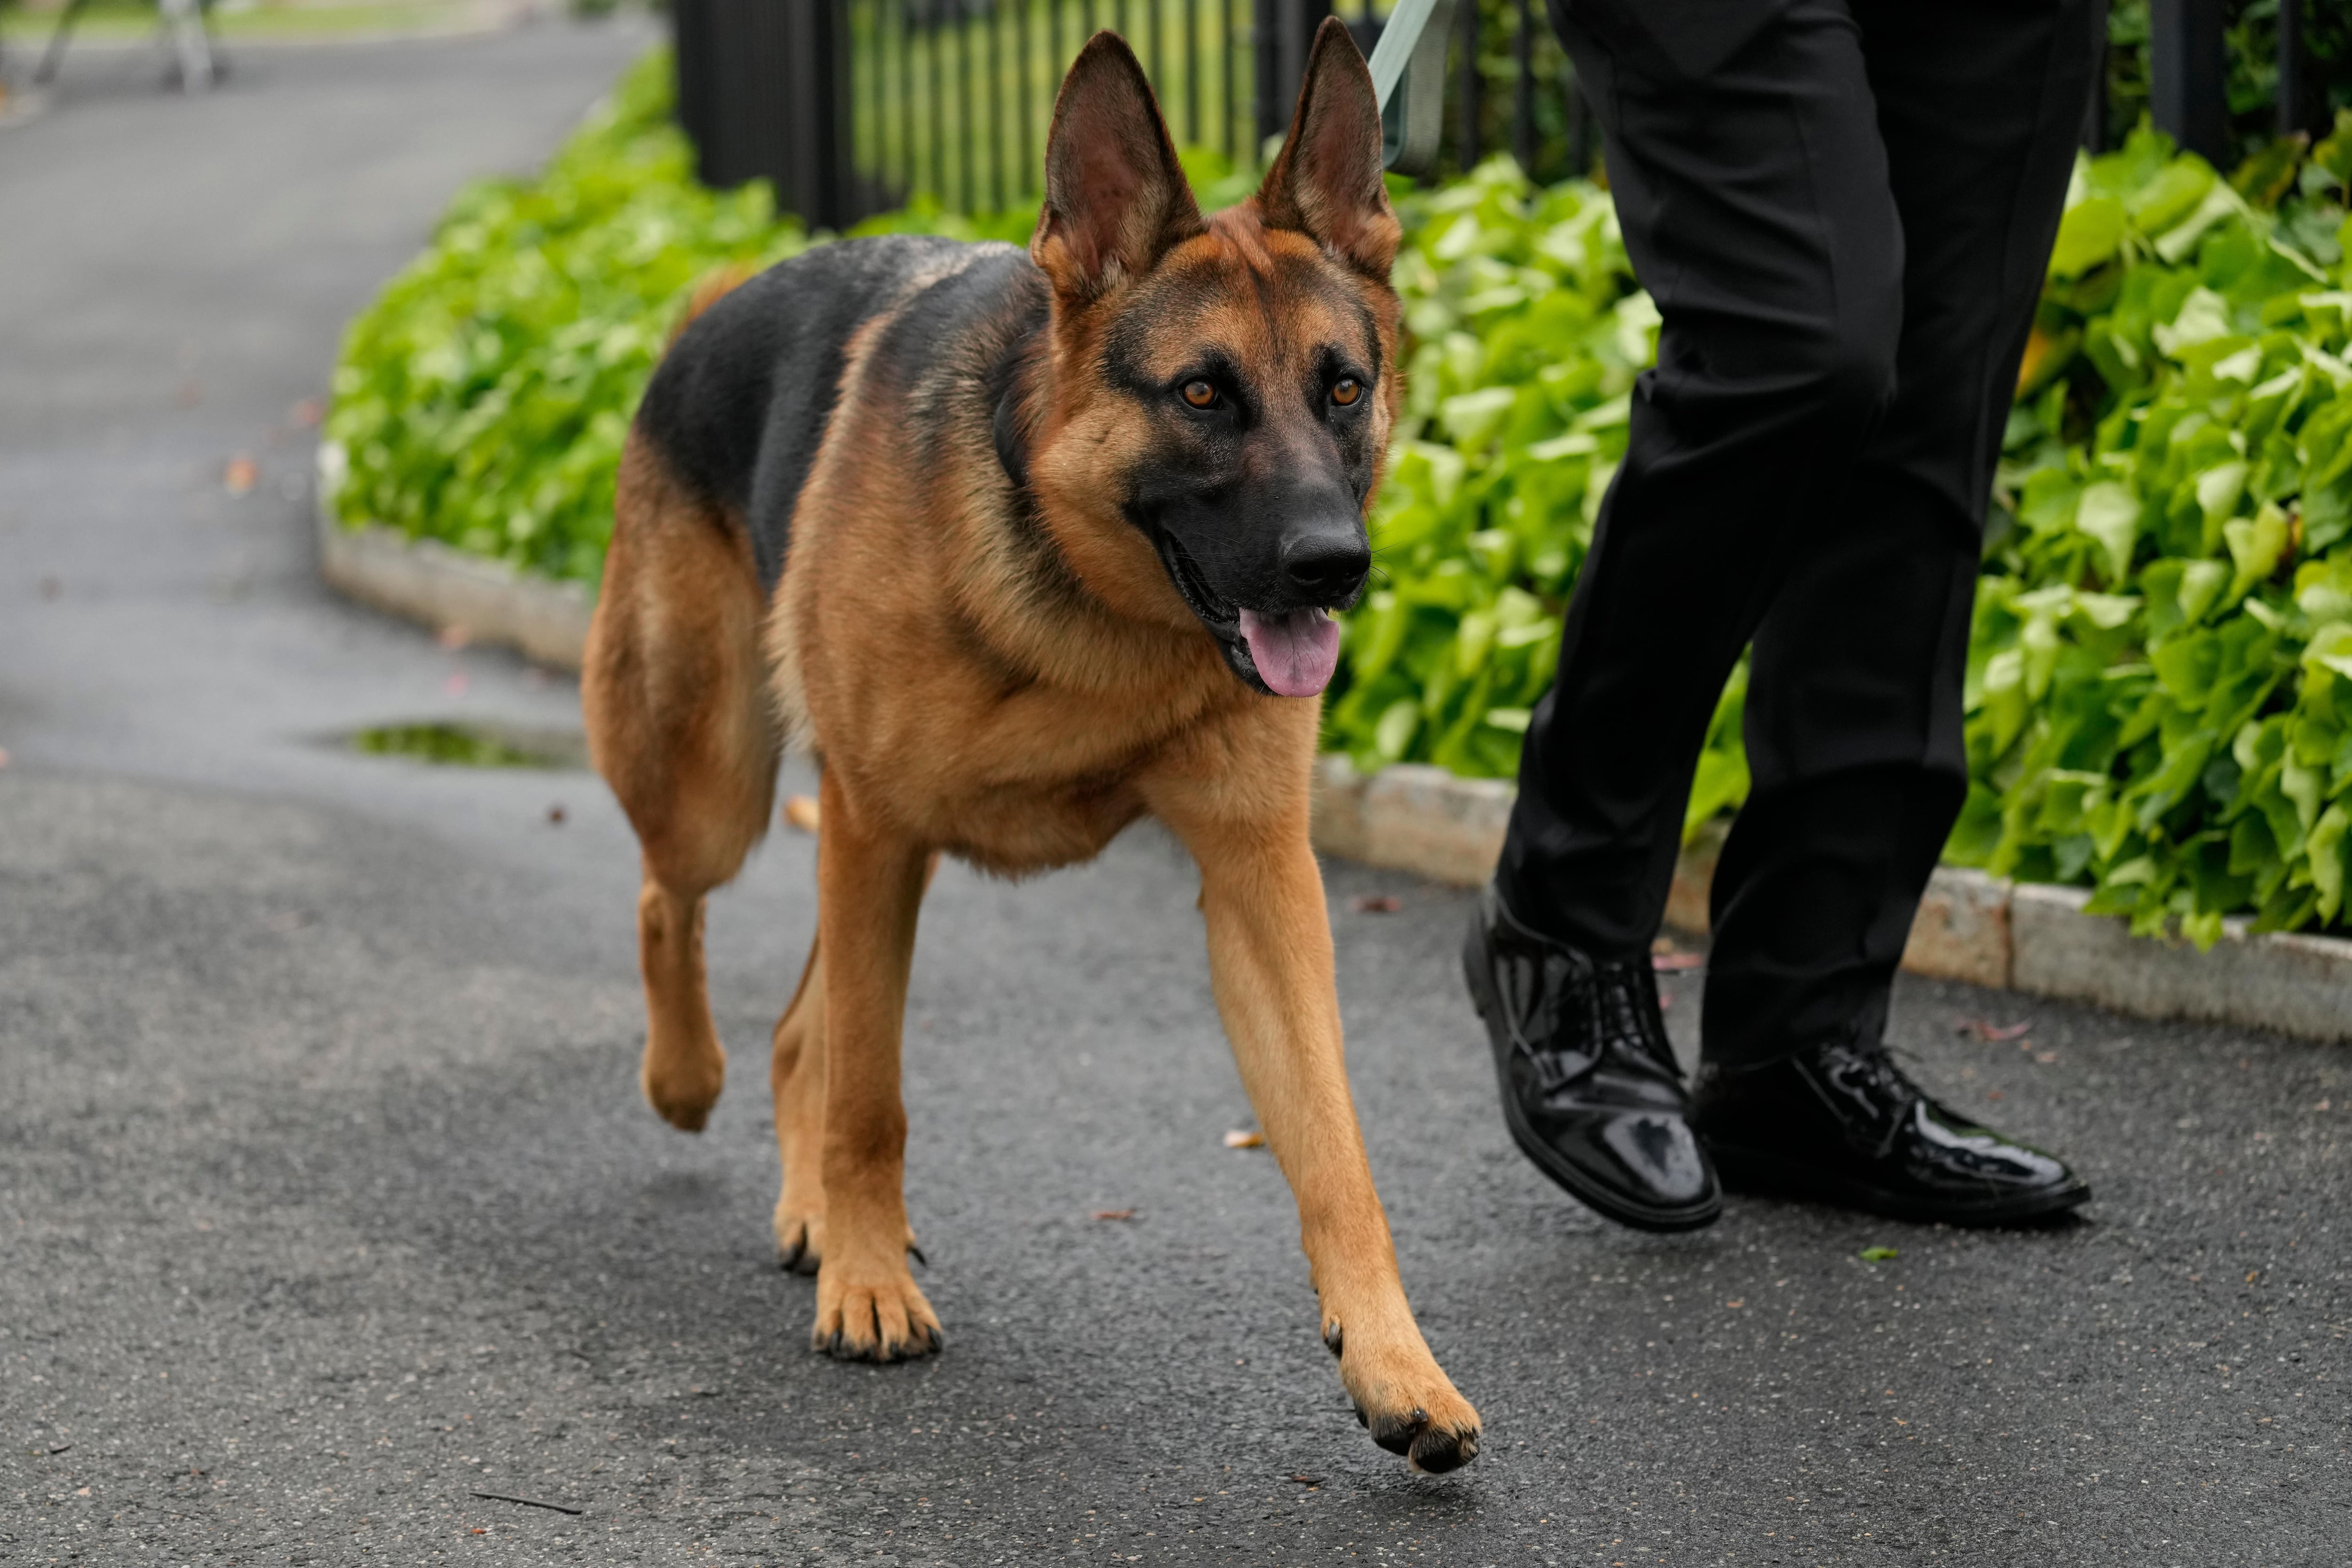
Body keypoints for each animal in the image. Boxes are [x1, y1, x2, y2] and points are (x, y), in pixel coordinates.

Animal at [581, 18, 1477, 1476]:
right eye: (1203, 394)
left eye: (1344, 388)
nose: (1335, 568)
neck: (1089, 605)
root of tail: (711, 303)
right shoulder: (875, 829)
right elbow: (873, 1098)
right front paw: (870, 1289)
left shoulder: (1262, 881)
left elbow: (1337, 1149)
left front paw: (1397, 1362)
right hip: (721, 780)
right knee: (677, 903)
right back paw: (688, 1081)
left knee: (799, 1027)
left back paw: (808, 1204)